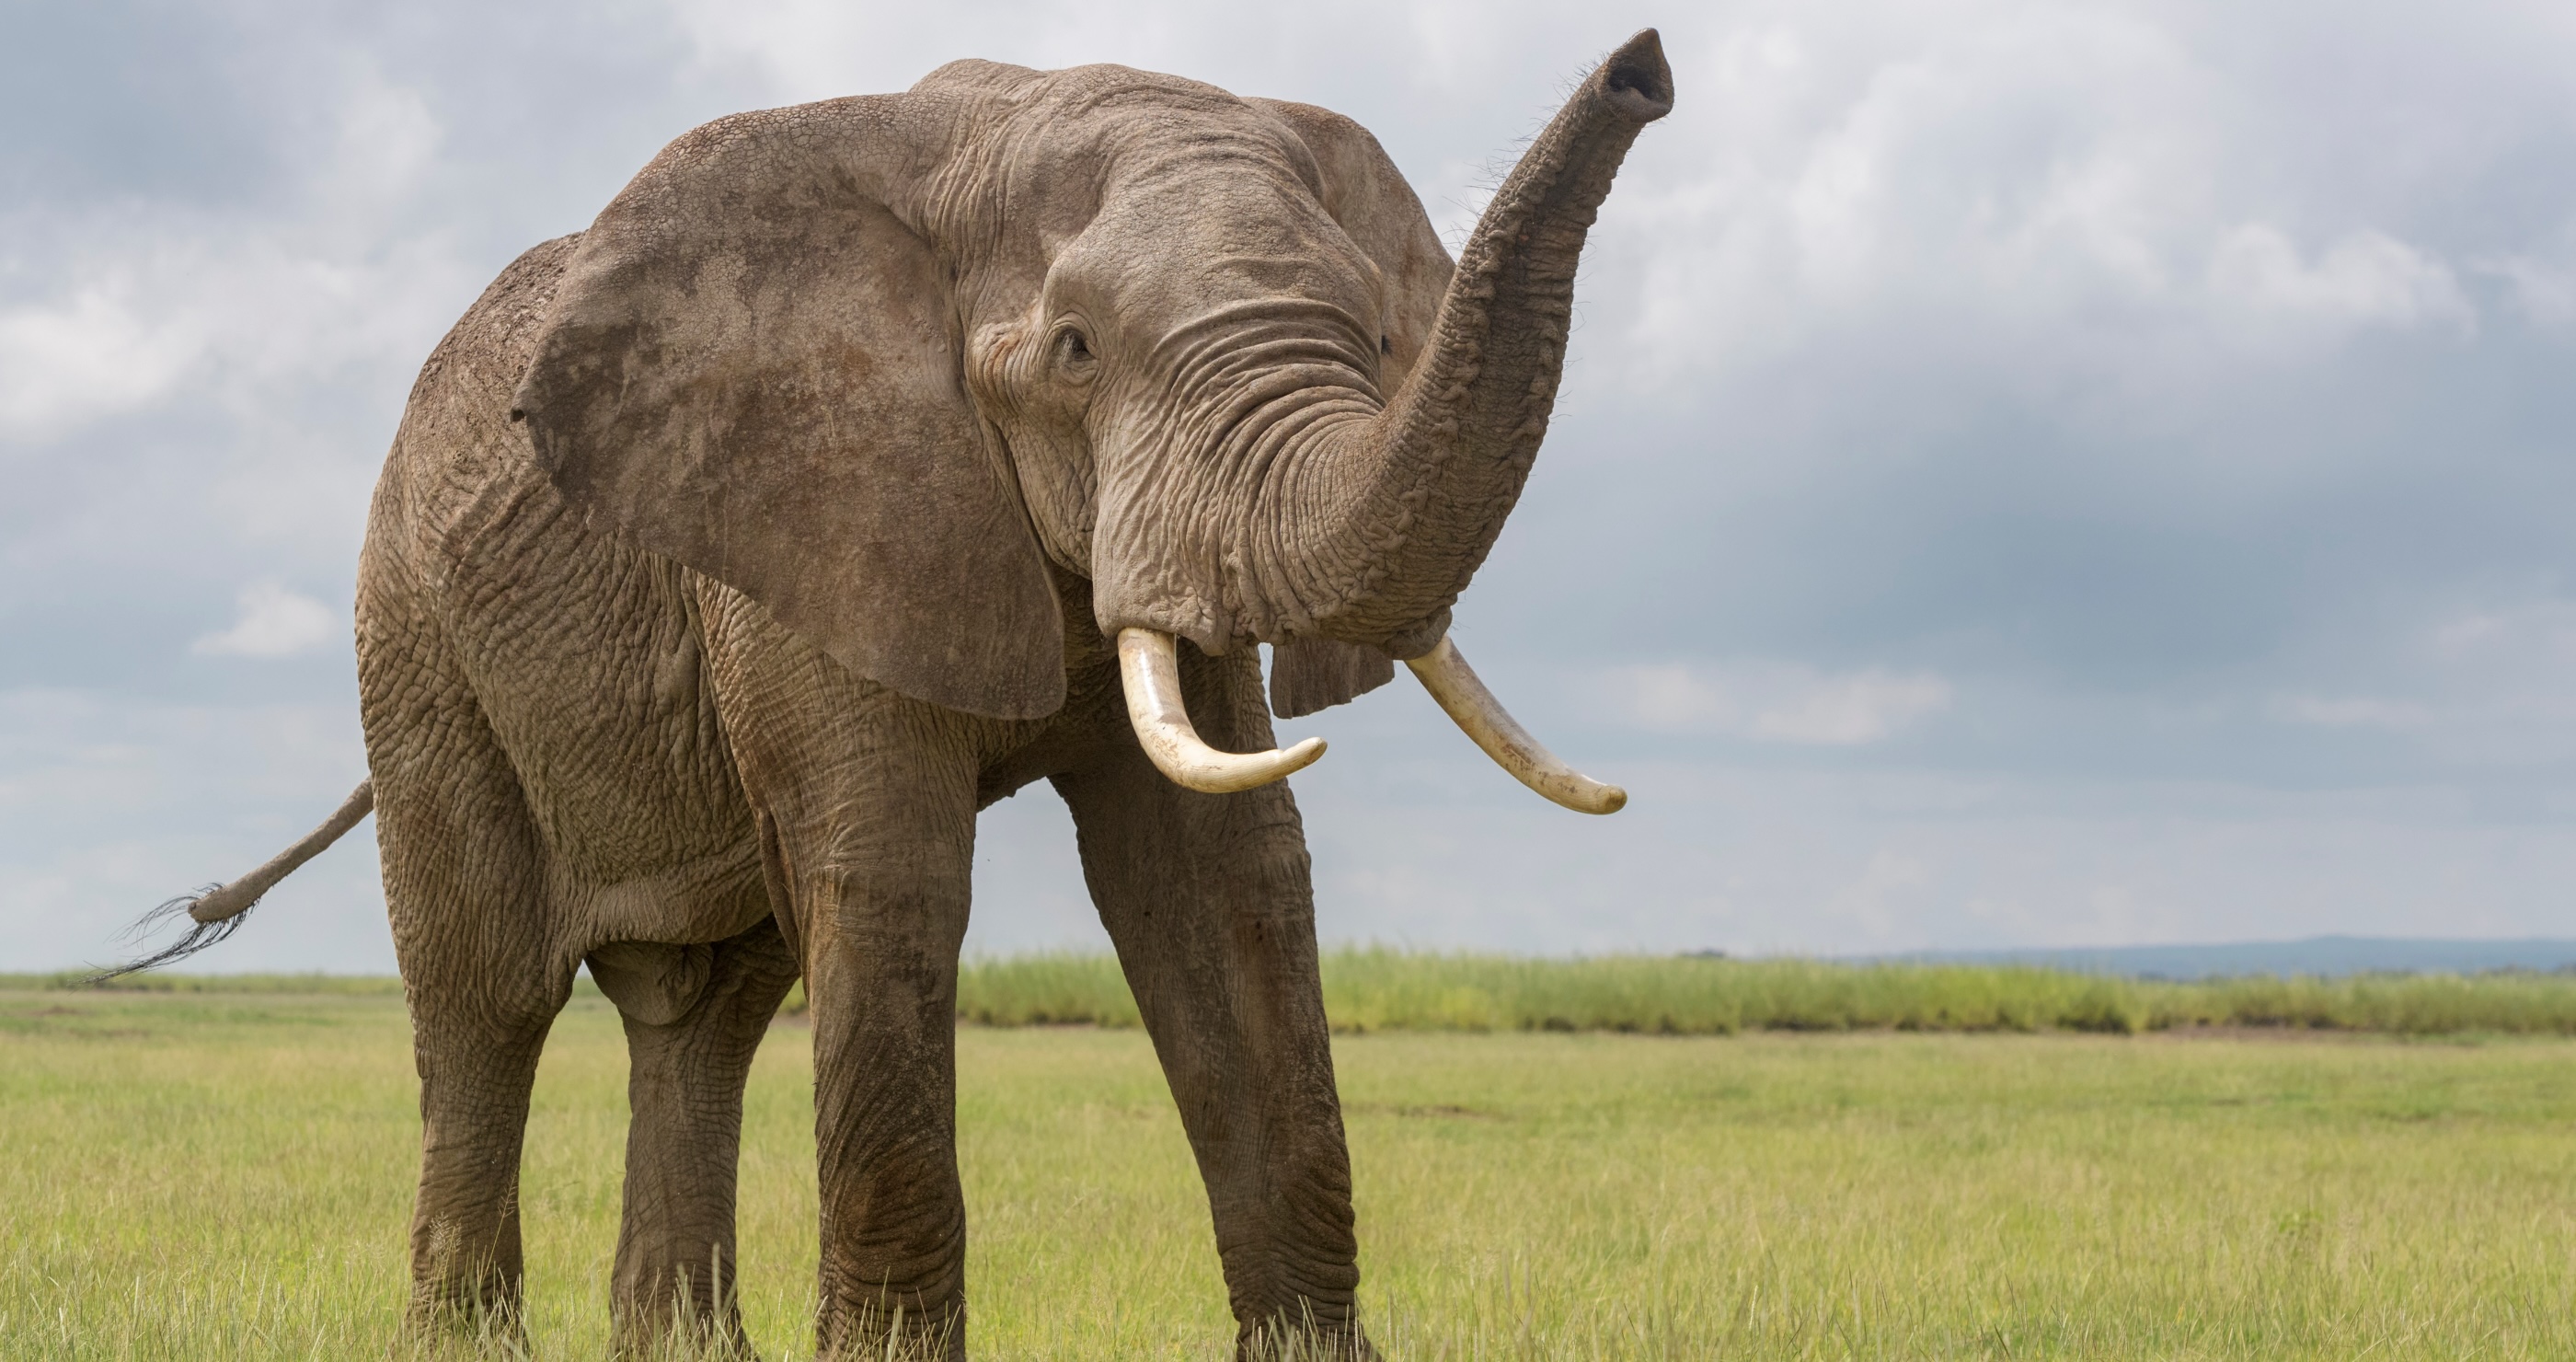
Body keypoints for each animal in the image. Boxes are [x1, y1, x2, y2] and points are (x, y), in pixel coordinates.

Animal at [127, 28, 1670, 1360]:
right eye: (1075, 351)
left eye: (1371, 333)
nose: (1647, 68)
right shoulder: (805, 502)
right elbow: (891, 876)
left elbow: (1220, 878)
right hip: (417, 635)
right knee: (487, 993)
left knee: (706, 1008)